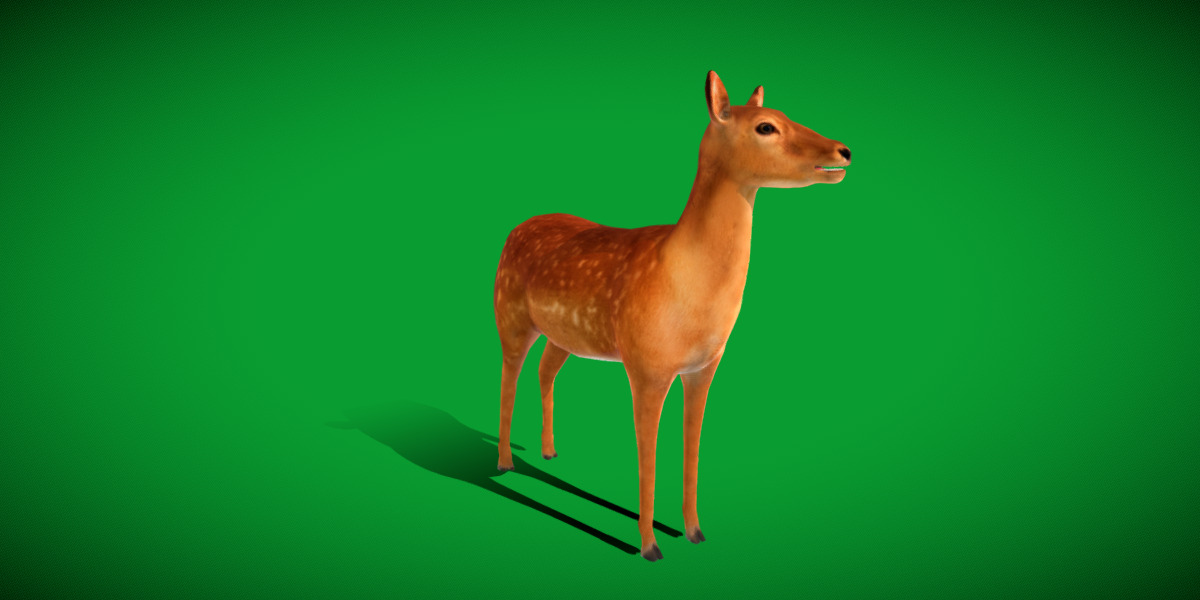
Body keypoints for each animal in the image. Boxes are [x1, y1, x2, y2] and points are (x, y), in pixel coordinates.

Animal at [492, 71, 851, 561]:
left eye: (784, 113)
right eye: (766, 126)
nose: (843, 151)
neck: (682, 283)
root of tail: (516, 228)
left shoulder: (705, 367)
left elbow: (692, 447)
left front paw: (695, 530)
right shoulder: (646, 365)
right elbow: (648, 454)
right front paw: (649, 545)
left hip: (564, 335)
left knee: (545, 371)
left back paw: (548, 453)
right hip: (509, 314)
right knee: (508, 376)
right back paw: (505, 462)